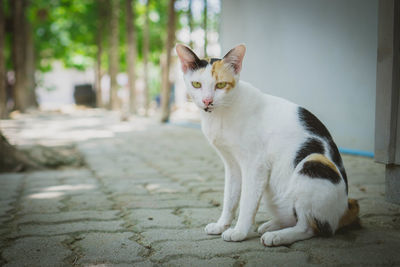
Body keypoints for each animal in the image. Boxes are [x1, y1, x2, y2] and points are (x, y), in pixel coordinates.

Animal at [177, 43, 358, 247]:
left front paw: (239, 232)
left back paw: (277, 236)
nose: (207, 101)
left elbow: (247, 201)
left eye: (221, 85)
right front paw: (221, 225)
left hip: (313, 161)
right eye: (196, 84)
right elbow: (230, 198)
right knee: (295, 217)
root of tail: (345, 209)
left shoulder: (255, 165)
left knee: (310, 227)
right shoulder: (232, 166)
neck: (221, 114)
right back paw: (272, 225)